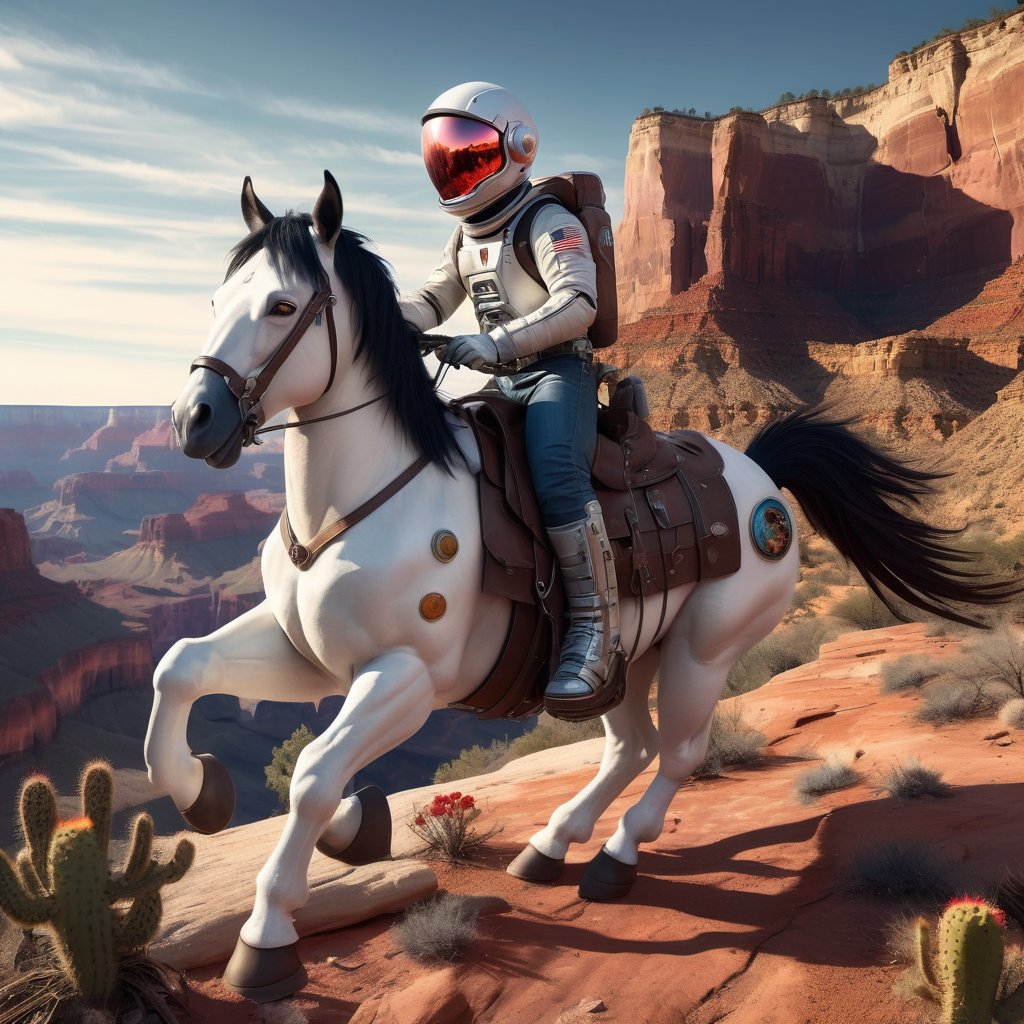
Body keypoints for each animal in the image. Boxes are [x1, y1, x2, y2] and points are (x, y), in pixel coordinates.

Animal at [149, 169, 1015, 999]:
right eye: (217, 299)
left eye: (282, 305)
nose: (193, 420)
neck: (366, 494)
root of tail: (759, 475)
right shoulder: (308, 652)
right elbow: (181, 665)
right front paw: (209, 793)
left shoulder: (407, 678)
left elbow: (313, 775)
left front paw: (266, 936)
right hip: (620, 653)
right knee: (631, 746)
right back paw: (549, 843)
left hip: (703, 647)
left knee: (678, 751)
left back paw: (617, 855)